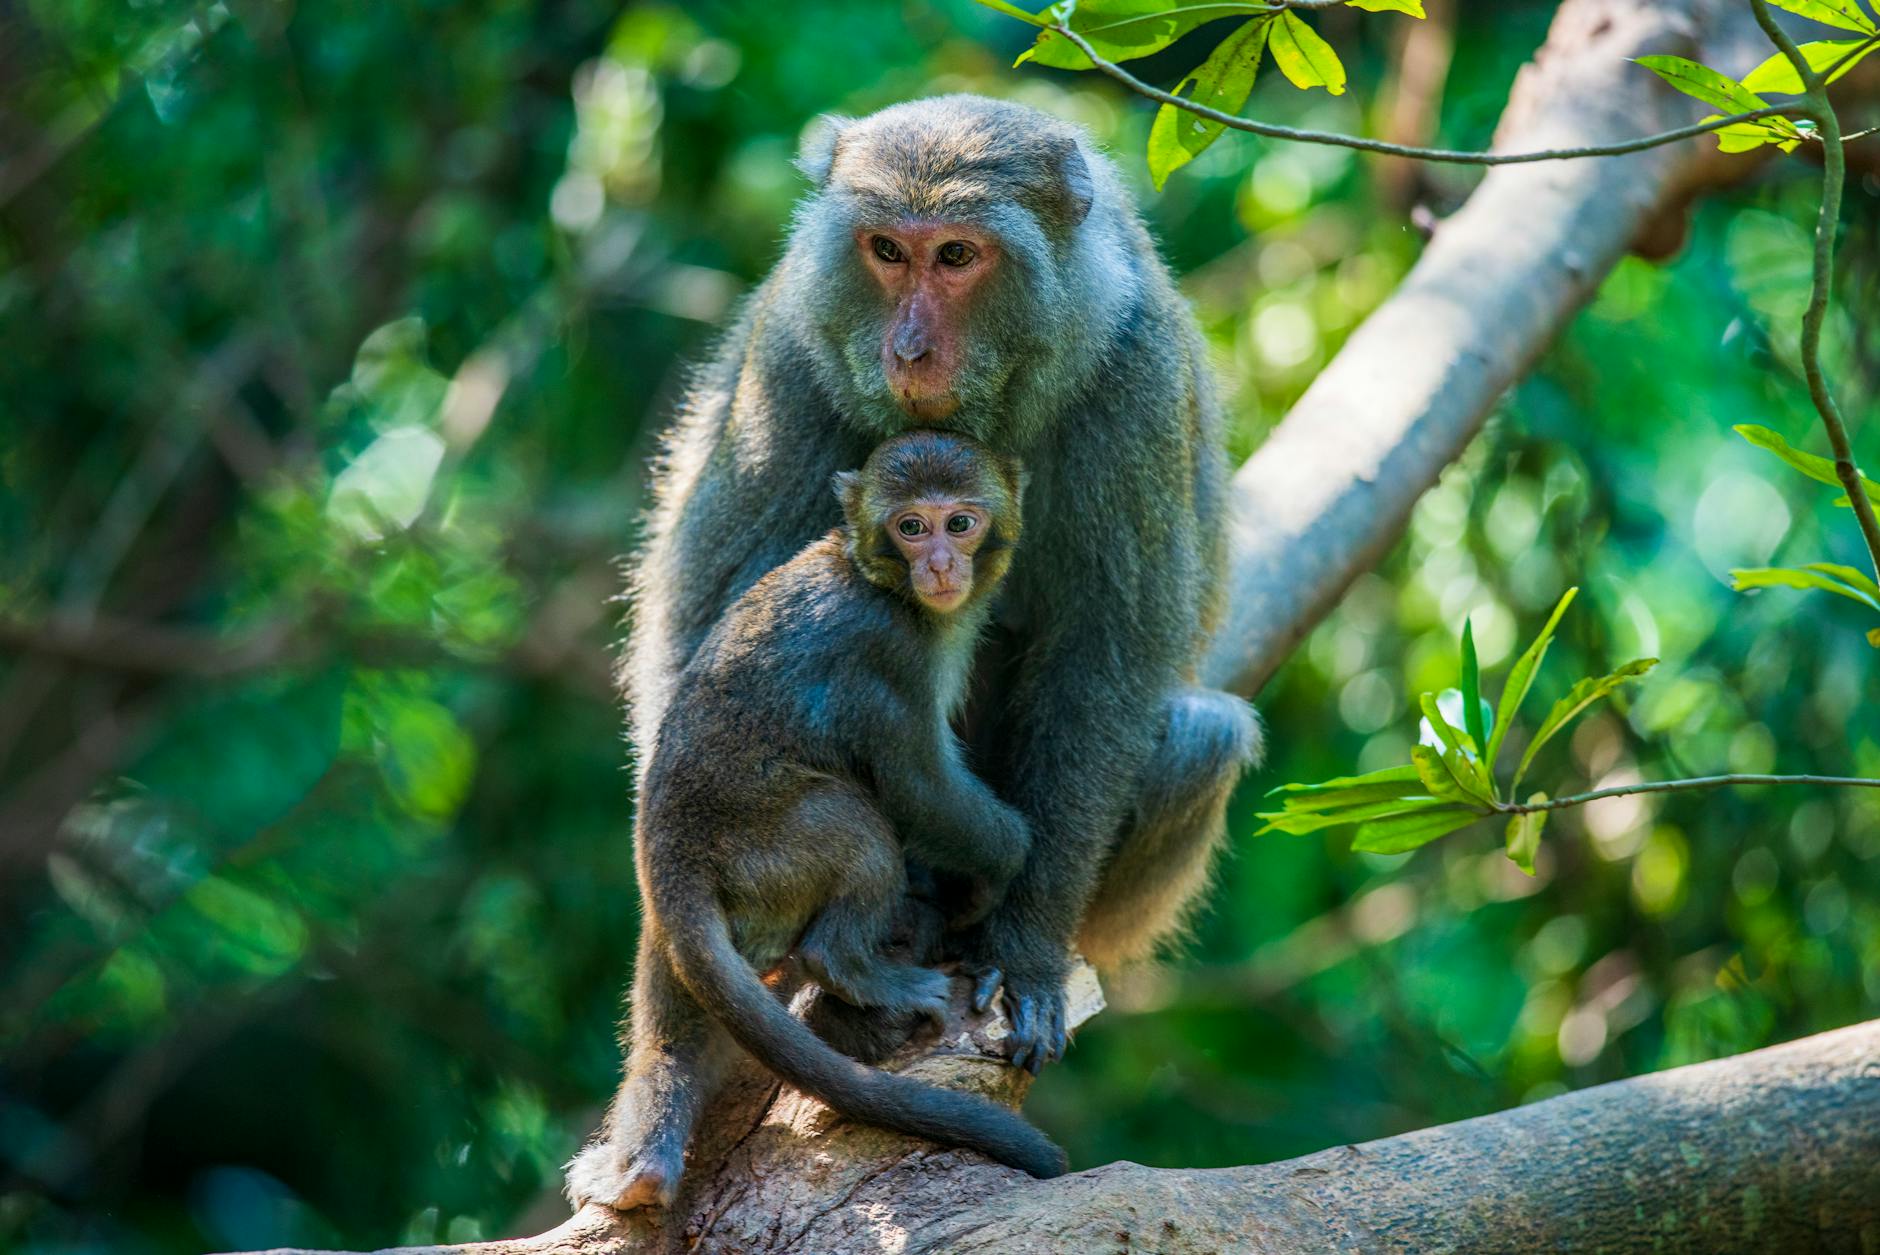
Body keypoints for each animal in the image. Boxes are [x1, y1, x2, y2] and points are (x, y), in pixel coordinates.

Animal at [566, 429, 1066, 1211]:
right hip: (769, 850)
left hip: (689, 925)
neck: (870, 574)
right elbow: (918, 785)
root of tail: (673, 856)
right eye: (911, 526)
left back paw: (641, 1165)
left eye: (960, 523)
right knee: (858, 831)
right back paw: (852, 964)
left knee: (669, 1032)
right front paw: (1001, 864)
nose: (940, 563)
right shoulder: (888, 649)